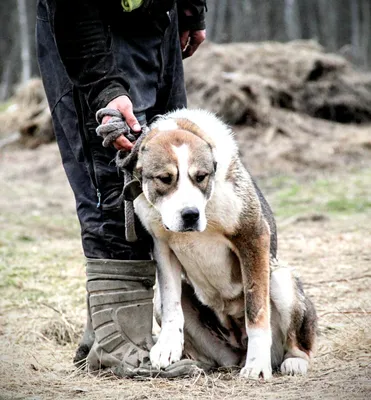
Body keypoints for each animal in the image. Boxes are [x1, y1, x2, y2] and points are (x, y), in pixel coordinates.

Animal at [126, 108, 318, 378]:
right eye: (165, 178)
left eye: (201, 177)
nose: (190, 214)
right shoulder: (162, 247)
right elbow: (172, 303)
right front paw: (167, 347)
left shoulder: (253, 237)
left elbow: (256, 310)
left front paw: (257, 365)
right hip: (176, 317)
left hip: (281, 280)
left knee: (298, 343)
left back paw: (293, 361)